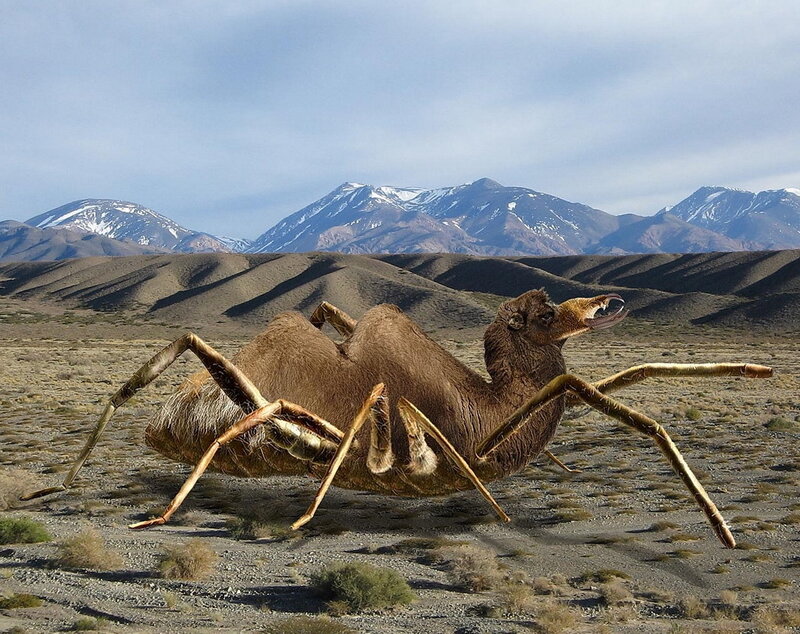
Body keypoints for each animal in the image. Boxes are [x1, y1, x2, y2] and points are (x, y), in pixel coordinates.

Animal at [23, 289, 773, 548]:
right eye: (538, 315)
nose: (606, 304)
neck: (493, 401)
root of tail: (165, 422)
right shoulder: (415, 430)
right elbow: (623, 407)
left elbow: (624, 383)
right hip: (258, 414)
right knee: (212, 396)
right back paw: (110, 499)